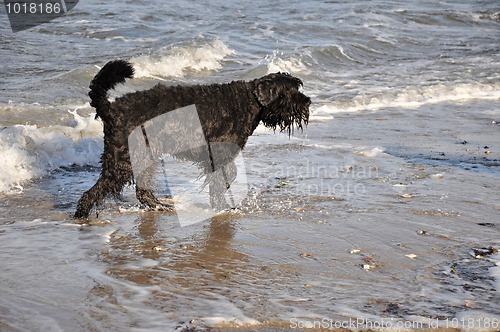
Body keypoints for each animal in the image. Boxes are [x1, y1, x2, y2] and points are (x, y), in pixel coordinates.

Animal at [73, 60, 308, 219]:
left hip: (143, 156)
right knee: (94, 191)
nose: (308, 102)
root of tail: (111, 109)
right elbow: (222, 179)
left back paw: (159, 205)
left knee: (142, 190)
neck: (246, 102)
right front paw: (221, 206)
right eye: (290, 91)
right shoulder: (218, 154)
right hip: (124, 160)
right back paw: (81, 214)